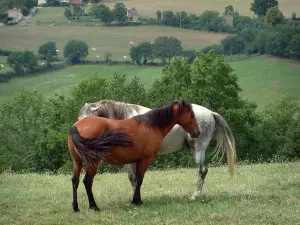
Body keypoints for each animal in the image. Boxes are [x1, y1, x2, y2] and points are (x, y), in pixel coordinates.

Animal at [67, 100, 199, 213]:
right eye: (191, 114)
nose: (197, 132)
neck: (151, 125)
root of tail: (75, 127)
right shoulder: (145, 159)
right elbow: (139, 179)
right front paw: (137, 200)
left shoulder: (136, 160)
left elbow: (135, 179)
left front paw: (135, 199)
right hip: (92, 163)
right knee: (87, 181)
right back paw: (94, 206)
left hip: (77, 162)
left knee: (75, 180)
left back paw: (75, 207)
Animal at [78, 99, 237, 200]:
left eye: (87, 120)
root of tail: (210, 113)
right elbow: (133, 178)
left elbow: (133, 177)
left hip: (199, 149)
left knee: (202, 171)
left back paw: (195, 196)